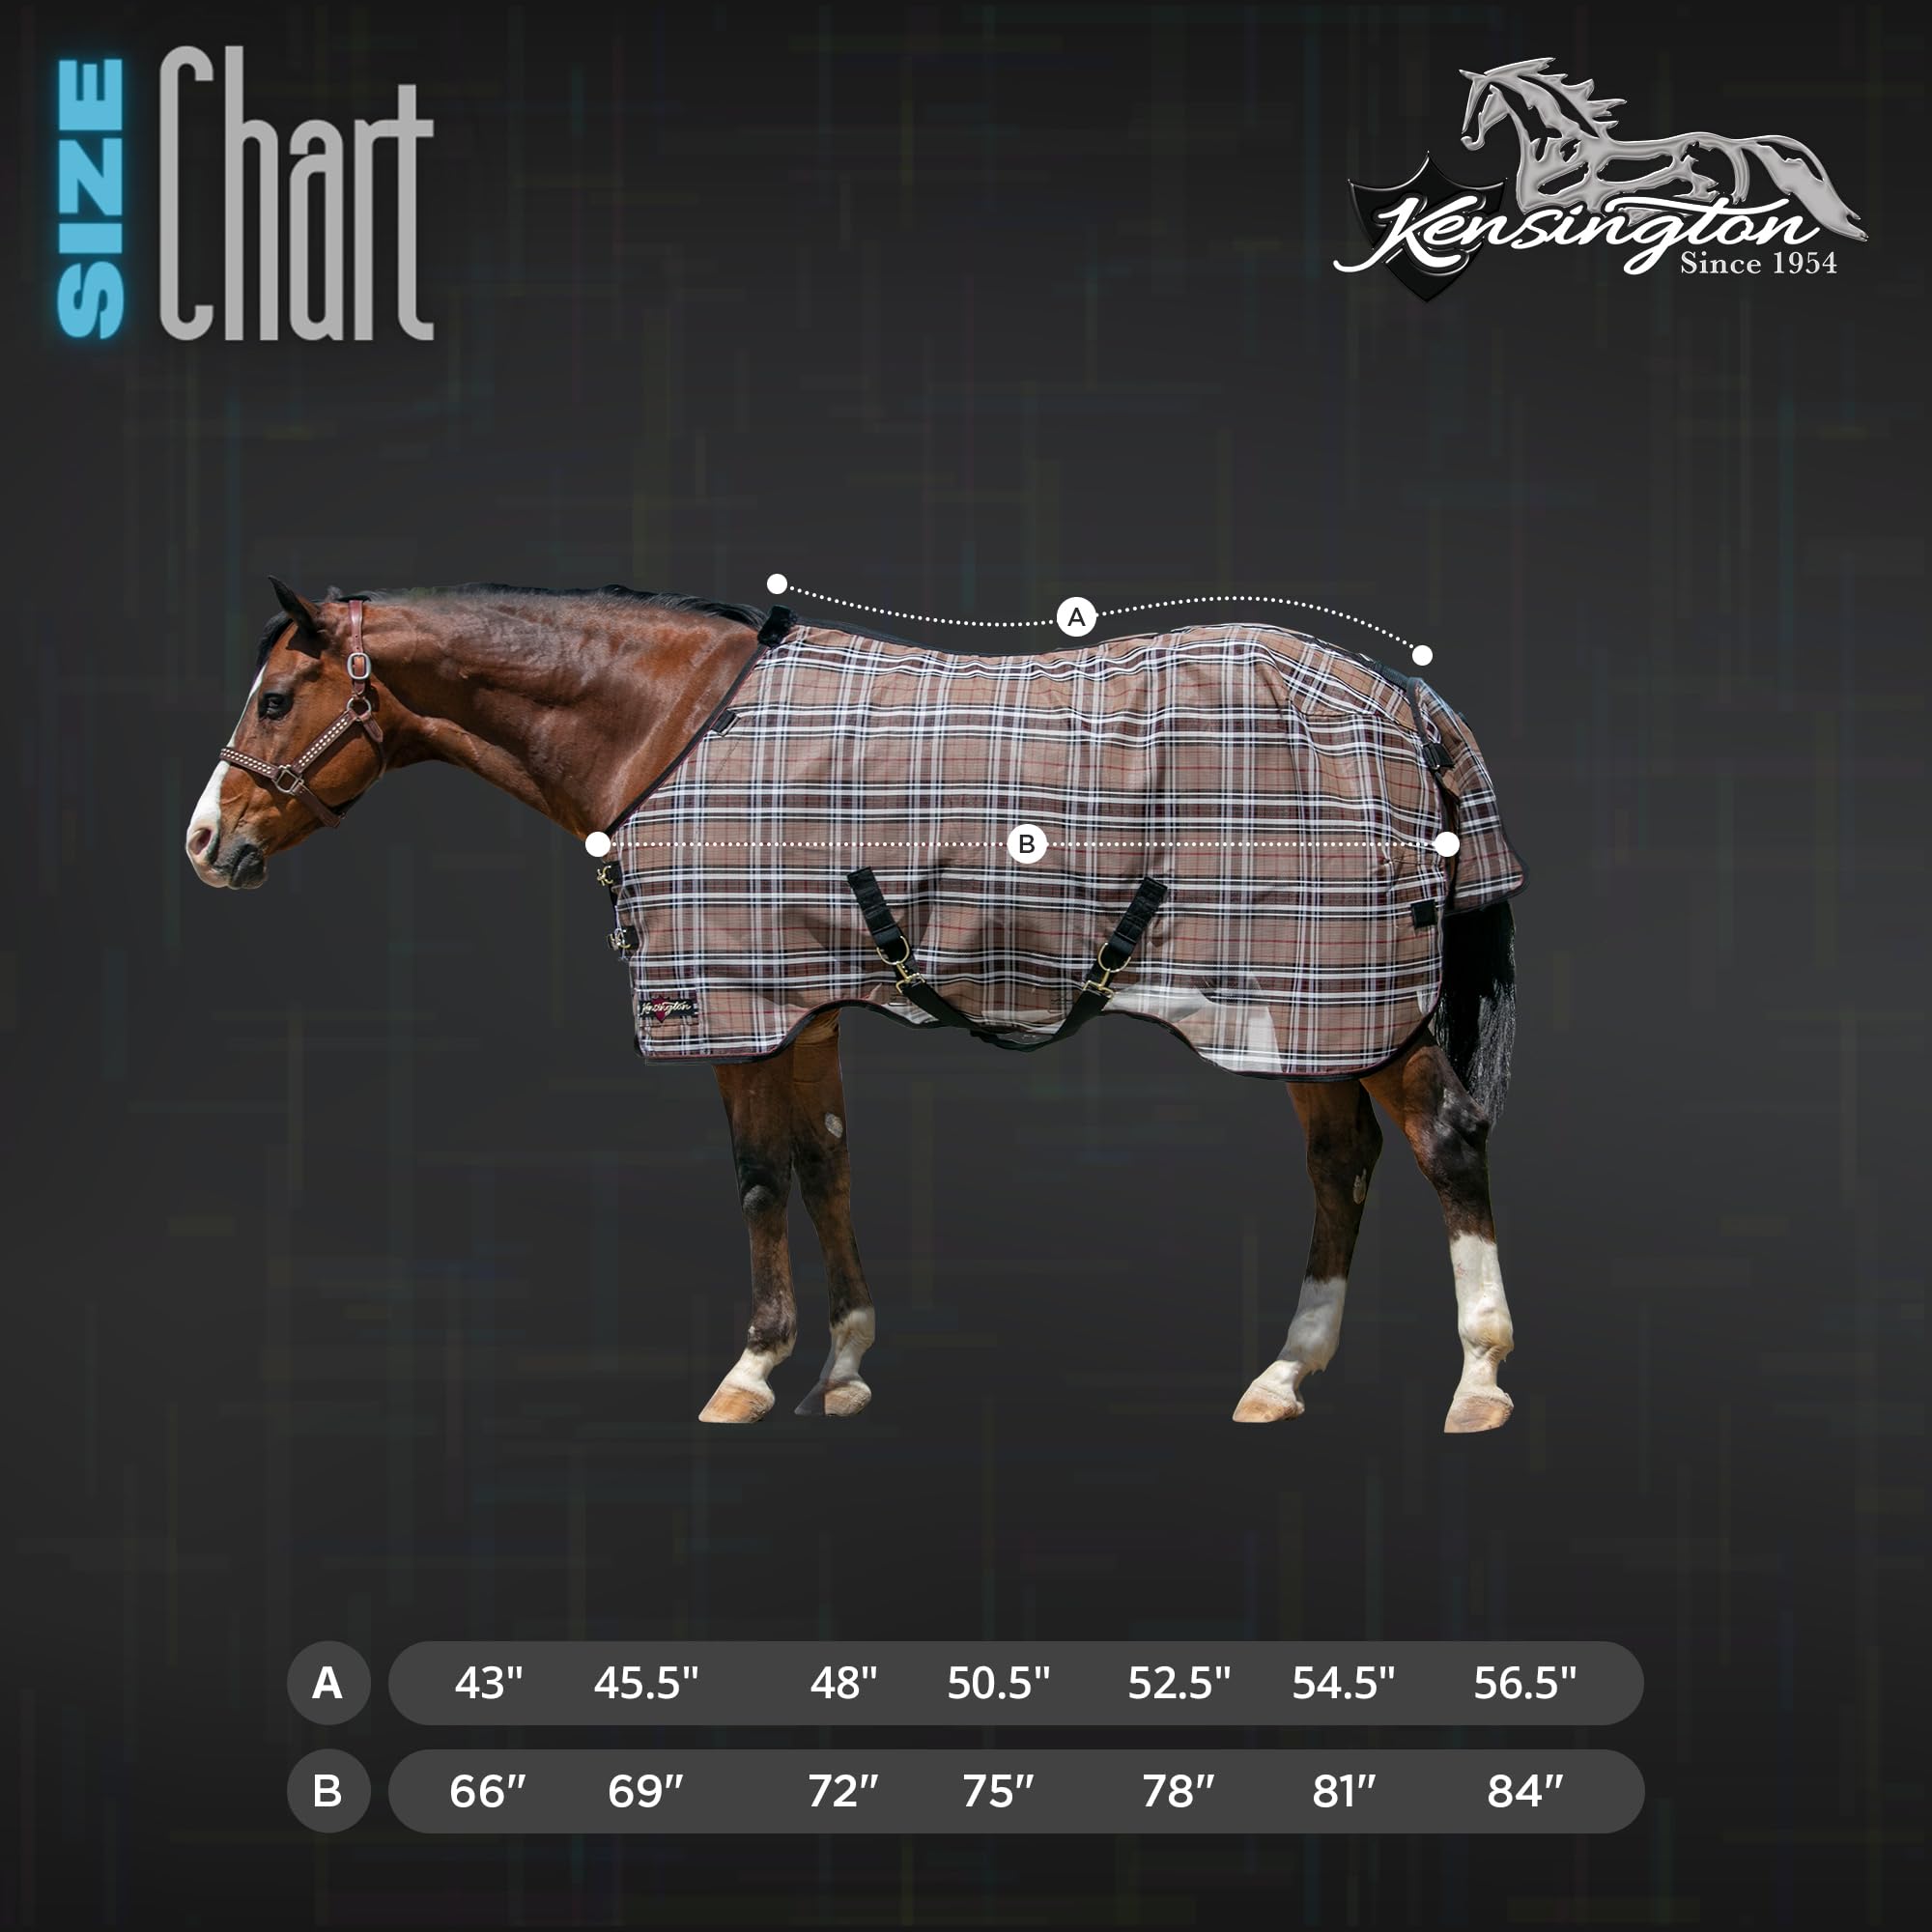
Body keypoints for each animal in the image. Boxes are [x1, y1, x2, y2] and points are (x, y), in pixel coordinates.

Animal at [185, 580, 1523, 1434]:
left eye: (272, 699)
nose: (204, 843)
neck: (673, 728)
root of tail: (1403, 703)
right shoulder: (803, 1004)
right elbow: (823, 1163)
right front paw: (841, 1365)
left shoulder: (727, 1006)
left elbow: (757, 1178)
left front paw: (749, 1370)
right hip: (1307, 1008)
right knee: (1341, 1160)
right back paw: (1285, 1373)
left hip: (1350, 1002)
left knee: (1444, 1140)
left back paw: (1476, 1380)